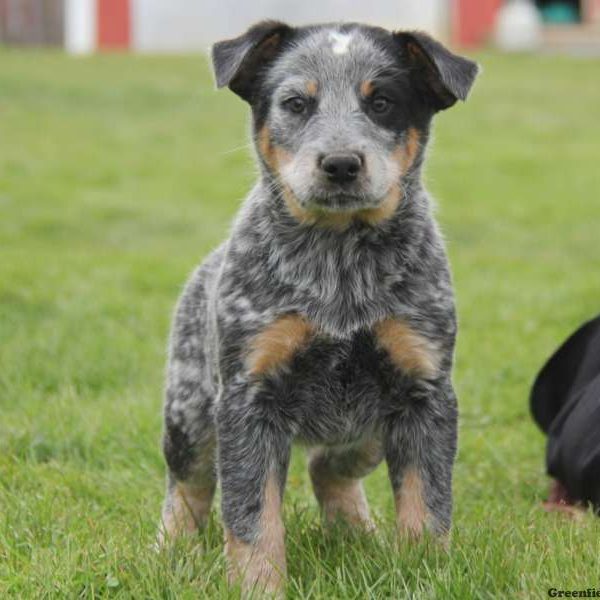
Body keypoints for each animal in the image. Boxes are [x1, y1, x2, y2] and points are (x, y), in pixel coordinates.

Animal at [158, 18, 478, 596]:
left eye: (382, 102)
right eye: (295, 103)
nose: (341, 163)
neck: (340, 262)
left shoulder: (425, 392)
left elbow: (427, 506)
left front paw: (425, 575)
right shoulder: (248, 398)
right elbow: (251, 517)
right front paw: (258, 586)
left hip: (367, 433)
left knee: (329, 467)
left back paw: (355, 533)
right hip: (191, 410)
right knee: (187, 484)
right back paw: (170, 550)